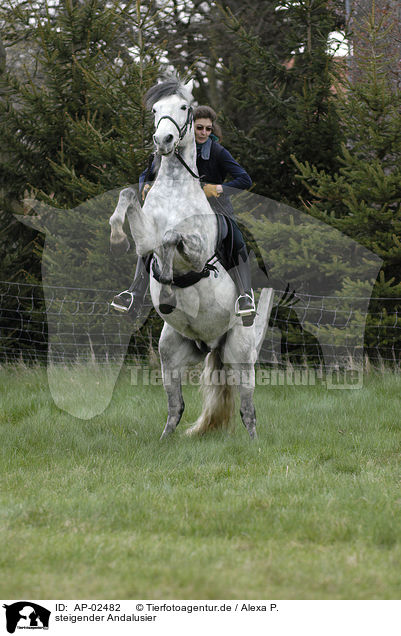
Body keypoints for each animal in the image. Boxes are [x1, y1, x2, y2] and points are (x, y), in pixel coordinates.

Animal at [108, 78, 255, 438]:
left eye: (184, 107)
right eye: (155, 110)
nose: (163, 140)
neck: (176, 187)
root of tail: (209, 344)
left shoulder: (198, 253)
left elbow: (172, 238)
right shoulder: (145, 233)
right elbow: (130, 199)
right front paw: (117, 233)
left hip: (241, 355)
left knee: (247, 409)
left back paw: (255, 442)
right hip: (171, 355)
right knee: (176, 407)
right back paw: (163, 442)